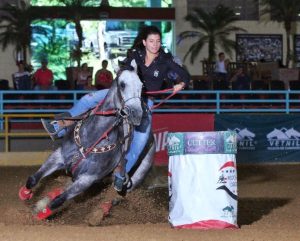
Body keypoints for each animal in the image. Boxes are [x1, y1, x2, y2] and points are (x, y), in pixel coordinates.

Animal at [18, 62, 155, 220]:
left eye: (141, 85)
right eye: (122, 84)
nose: (137, 114)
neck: (93, 137)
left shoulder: (87, 179)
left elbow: (58, 201)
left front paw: (41, 214)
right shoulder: (58, 156)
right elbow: (33, 179)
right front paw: (25, 194)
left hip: (134, 180)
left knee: (113, 198)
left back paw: (97, 215)